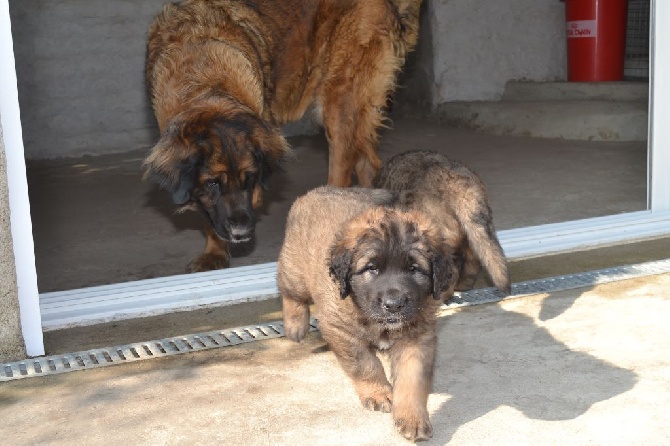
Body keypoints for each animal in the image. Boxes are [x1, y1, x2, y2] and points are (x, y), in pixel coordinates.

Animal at [144, 0, 422, 272]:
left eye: (250, 177)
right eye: (212, 183)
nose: (241, 231)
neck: (205, 82)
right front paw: (214, 253)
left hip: (339, 104)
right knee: (369, 164)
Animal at [276, 186, 456, 440]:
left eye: (414, 269)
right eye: (372, 268)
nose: (394, 304)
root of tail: (319, 191)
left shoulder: (416, 337)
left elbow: (412, 380)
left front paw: (413, 418)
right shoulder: (341, 330)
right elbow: (365, 364)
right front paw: (379, 392)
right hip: (295, 273)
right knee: (288, 290)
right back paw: (295, 325)